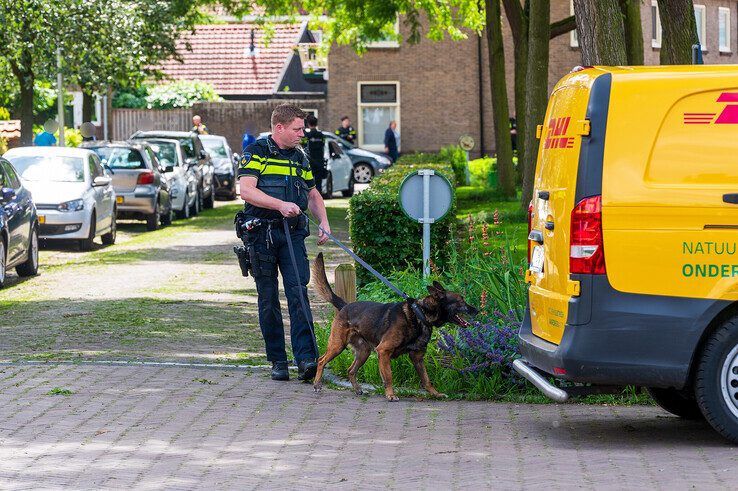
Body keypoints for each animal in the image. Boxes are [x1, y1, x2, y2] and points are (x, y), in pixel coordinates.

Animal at [308, 256, 474, 402]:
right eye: (461, 301)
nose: (476, 310)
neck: (419, 314)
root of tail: (345, 305)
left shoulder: (417, 358)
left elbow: (427, 380)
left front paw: (436, 394)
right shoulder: (384, 351)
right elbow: (388, 377)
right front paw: (390, 395)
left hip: (364, 351)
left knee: (351, 370)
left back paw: (357, 389)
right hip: (338, 345)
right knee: (321, 360)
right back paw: (316, 384)